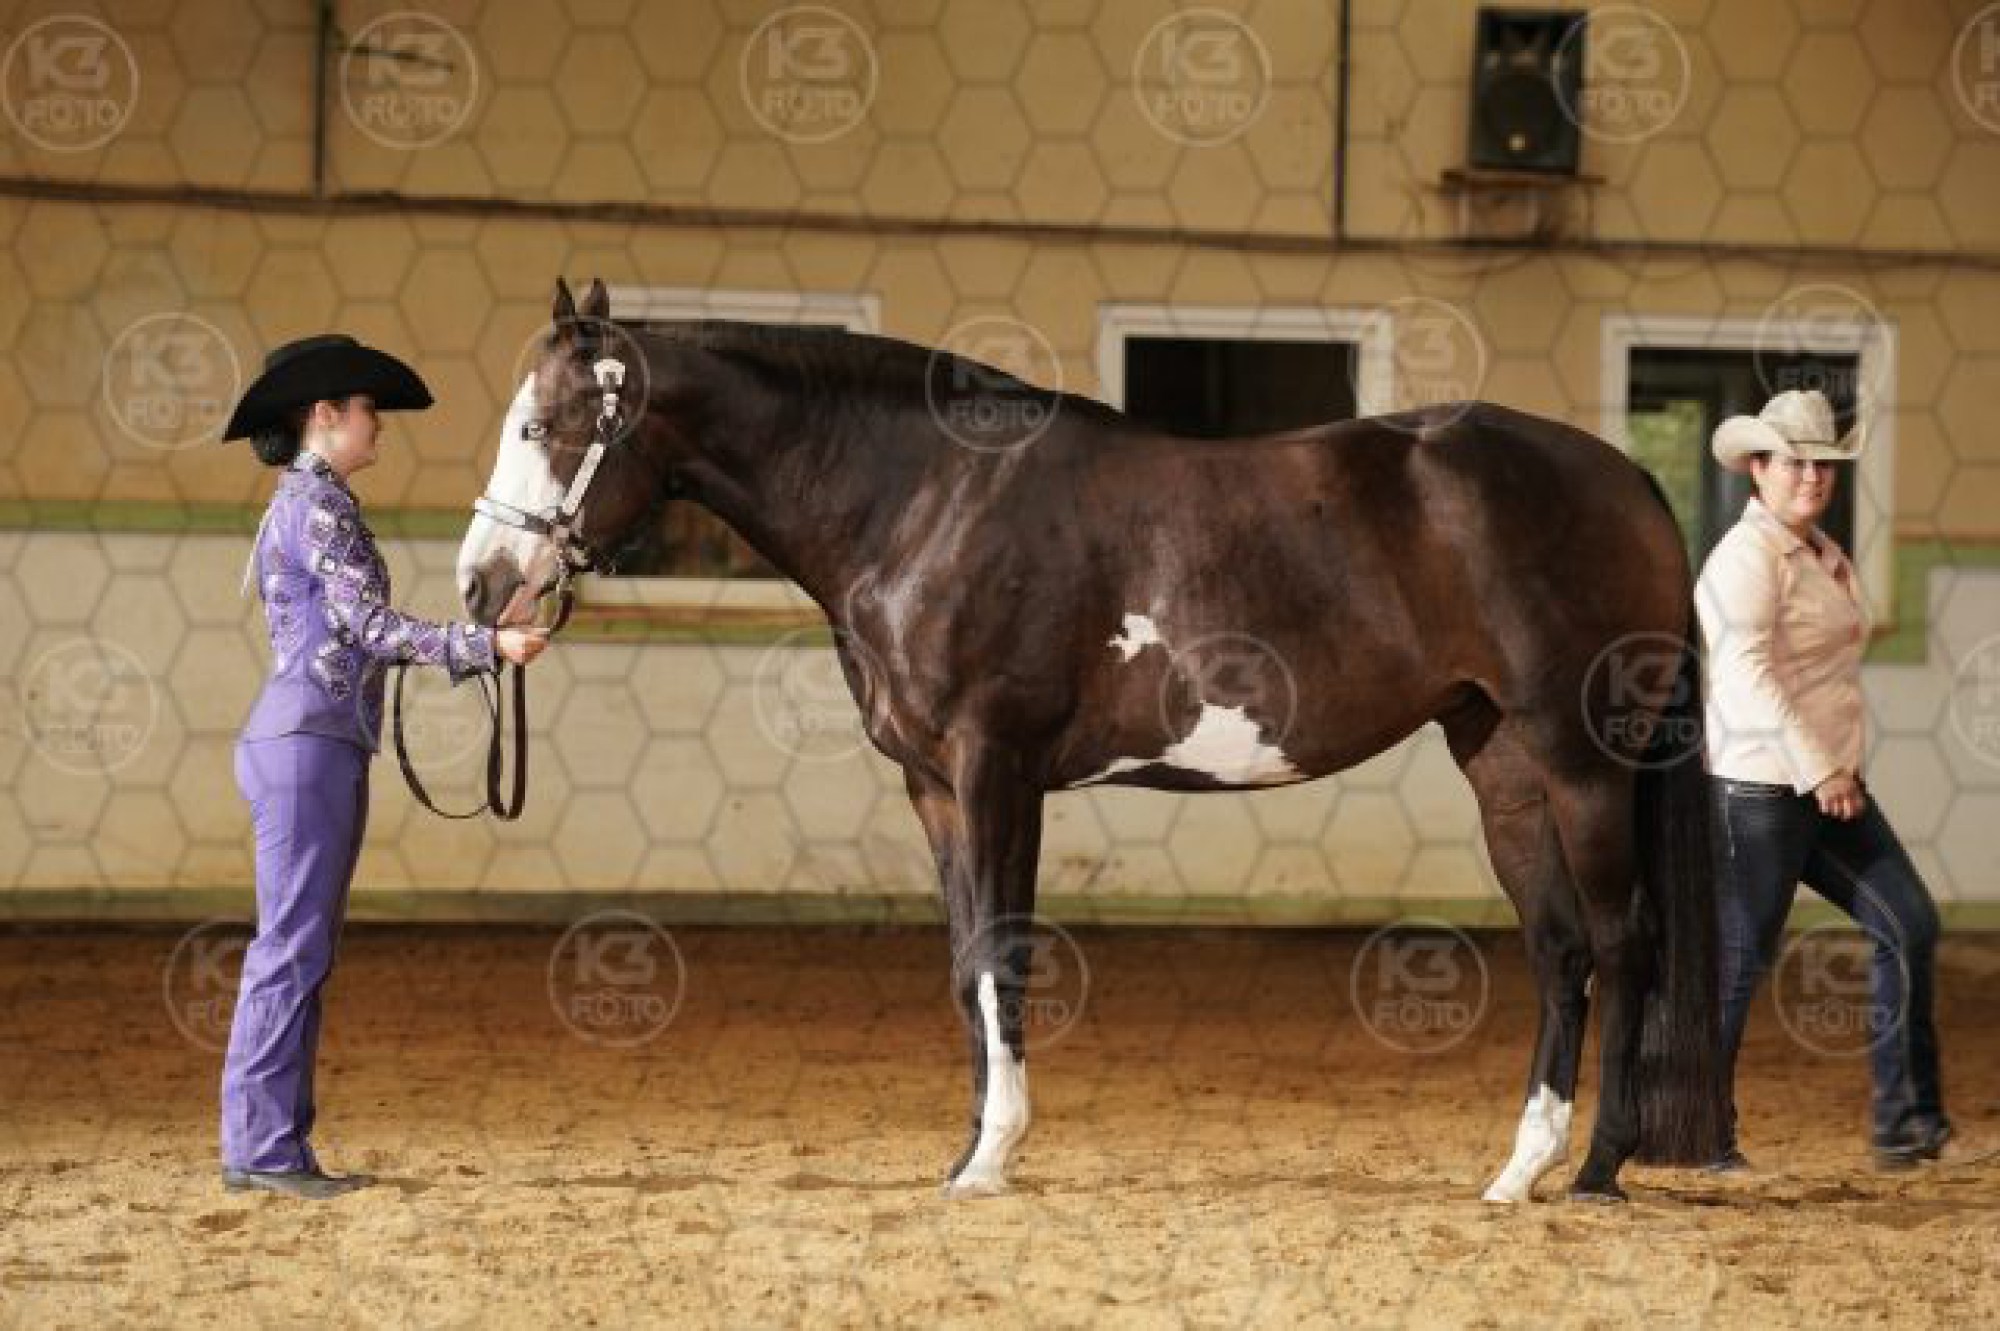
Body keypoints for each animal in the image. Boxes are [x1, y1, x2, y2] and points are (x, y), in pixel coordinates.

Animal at [456, 277, 1728, 1202]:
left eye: (543, 424)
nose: (481, 584)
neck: (925, 499)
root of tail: (1628, 477)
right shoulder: (933, 787)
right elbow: (962, 959)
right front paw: (969, 1148)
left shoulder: (996, 770)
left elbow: (1002, 953)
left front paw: (989, 1157)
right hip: (1500, 762)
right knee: (1557, 951)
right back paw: (1518, 1169)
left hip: (1579, 763)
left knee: (1622, 941)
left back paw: (1599, 1169)